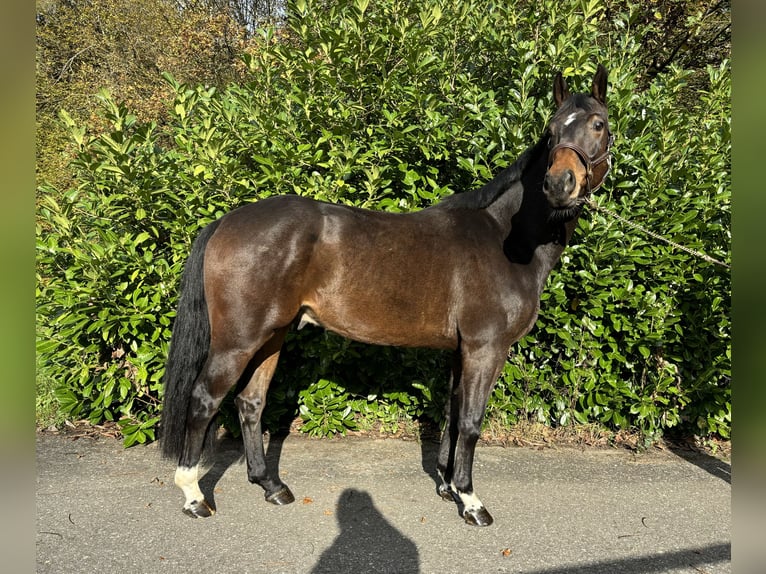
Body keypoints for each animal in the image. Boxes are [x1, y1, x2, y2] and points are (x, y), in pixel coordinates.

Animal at [159, 65, 616, 528]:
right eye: (551, 130)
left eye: (598, 125)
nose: (559, 184)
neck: (504, 238)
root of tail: (225, 222)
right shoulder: (486, 347)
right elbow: (471, 421)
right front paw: (470, 501)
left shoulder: (462, 350)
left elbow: (452, 415)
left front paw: (447, 485)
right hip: (238, 340)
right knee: (204, 399)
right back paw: (193, 495)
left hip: (272, 335)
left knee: (250, 402)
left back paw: (272, 486)